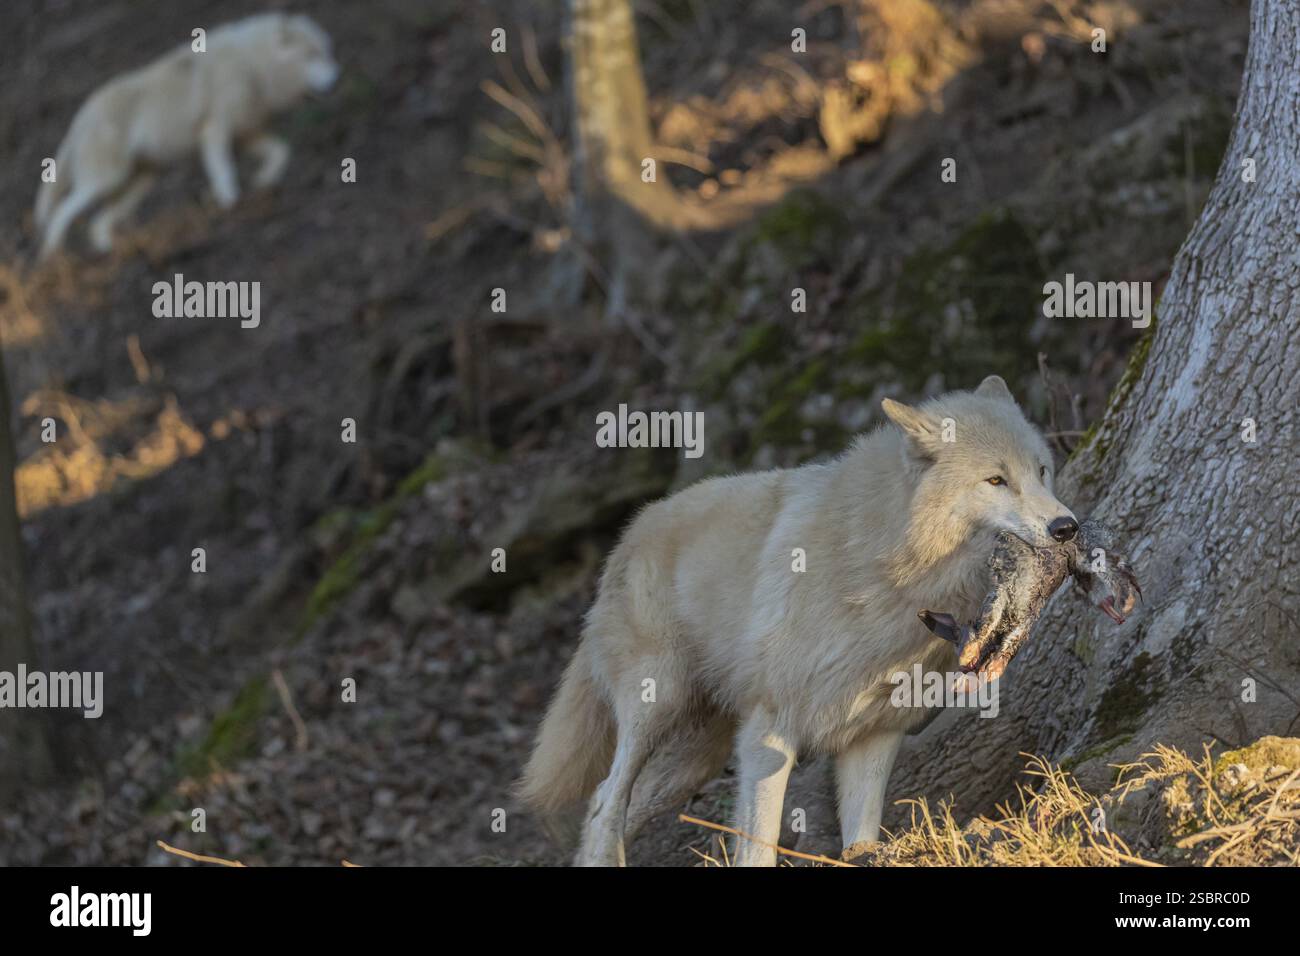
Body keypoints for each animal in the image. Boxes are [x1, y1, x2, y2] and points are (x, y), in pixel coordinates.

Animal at [34, 13, 339, 261]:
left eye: (327, 53)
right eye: (312, 55)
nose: (336, 79)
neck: (254, 64)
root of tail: (80, 117)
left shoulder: (246, 135)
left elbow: (282, 152)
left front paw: (265, 181)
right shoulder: (215, 132)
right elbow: (225, 173)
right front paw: (231, 205)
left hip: (138, 184)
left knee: (97, 223)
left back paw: (113, 252)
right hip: (106, 180)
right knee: (61, 212)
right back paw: (53, 258)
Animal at [519, 375, 1080, 866]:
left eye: (1041, 471)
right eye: (996, 480)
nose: (1067, 527)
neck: (883, 562)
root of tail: (631, 529)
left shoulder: (874, 735)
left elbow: (861, 835)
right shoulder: (771, 731)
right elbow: (758, 846)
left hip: (694, 762)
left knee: (620, 807)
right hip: (658, 706)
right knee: (602, 802)